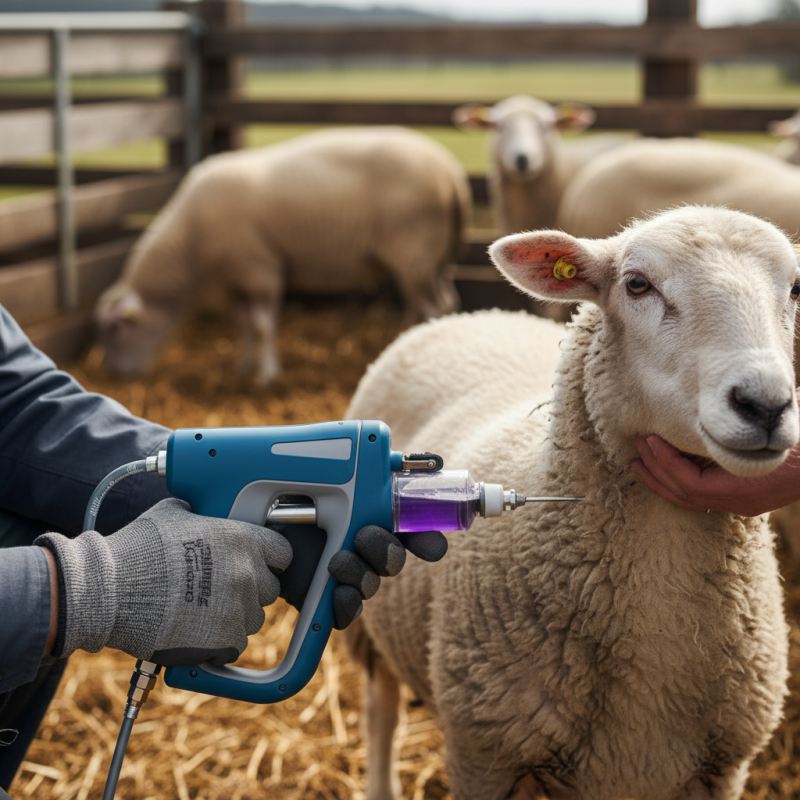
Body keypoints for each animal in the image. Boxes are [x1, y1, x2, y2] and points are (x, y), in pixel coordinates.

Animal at [95, 126, 471, 386]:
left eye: (114, 328)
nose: (115, 374)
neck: (190, 245)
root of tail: (452, 175)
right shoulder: (236, 279)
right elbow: (244, 325)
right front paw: (244, 367)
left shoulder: (259, 268)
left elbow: (262, 325)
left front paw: (266, 376)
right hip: (431, 257)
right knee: (440, 302)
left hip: (414, 248)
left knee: (431, 306)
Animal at [344, 204, 799, 800]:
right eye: (636, 284)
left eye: (795, 288)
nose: (766, 405)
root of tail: (472, 313)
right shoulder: (485, 755)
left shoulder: (724, 767)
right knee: (381, 709)